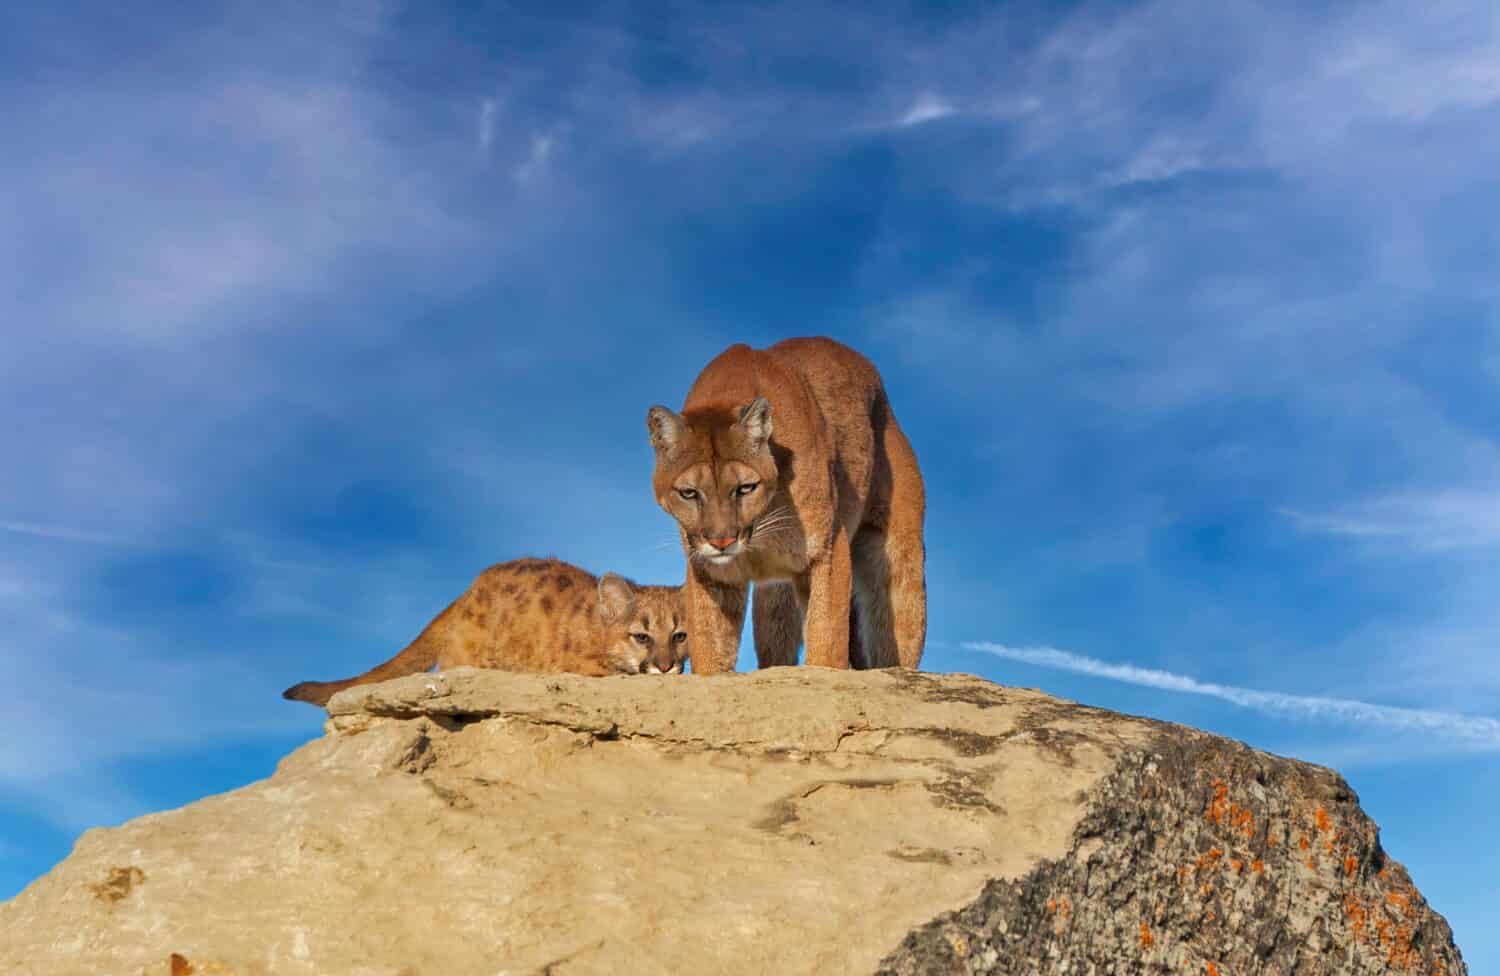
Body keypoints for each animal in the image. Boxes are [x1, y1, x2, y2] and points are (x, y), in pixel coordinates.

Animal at [648, 340, 924, 674]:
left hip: (900, 566)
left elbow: (826, 639)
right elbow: (708, 647)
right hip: (775, 596)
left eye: (745, 488)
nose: (722, 541)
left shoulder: (826, 548)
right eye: (689, 493)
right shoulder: (710, 572)